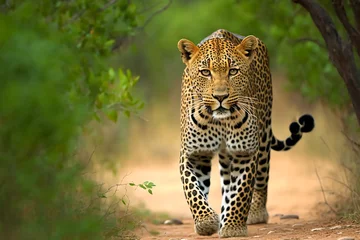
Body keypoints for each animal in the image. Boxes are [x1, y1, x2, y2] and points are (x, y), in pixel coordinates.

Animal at [177, 29, 316, 237]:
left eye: (233, 71)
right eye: (205, 72)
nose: (220, 97)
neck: (221, 121)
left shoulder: (245, 152)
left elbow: (241, 191)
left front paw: (233, 227)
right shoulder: (194, 154)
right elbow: (192, 189)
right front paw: (206, 222)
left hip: (264, 136)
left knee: (261, 179)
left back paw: (256, 212)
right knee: (227, 183)